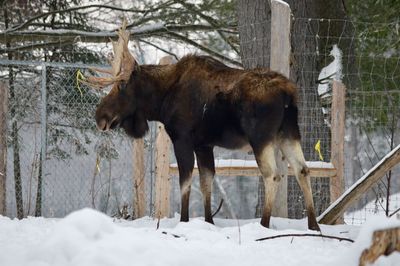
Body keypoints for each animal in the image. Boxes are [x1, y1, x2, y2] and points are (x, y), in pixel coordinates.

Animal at [83, 21, 318, 231]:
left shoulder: (182, 139)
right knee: (302, 169)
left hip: (261, 137)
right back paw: (313, 225)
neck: (161, 100)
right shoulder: (204, 145)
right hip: (288, 132)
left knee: (273, 174)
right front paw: (209, 221)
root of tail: (288, 93)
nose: (100, 116)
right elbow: (206, 181)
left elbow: (185, 181)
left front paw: (184, 221)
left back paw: (264, 224)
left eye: (122, 85)